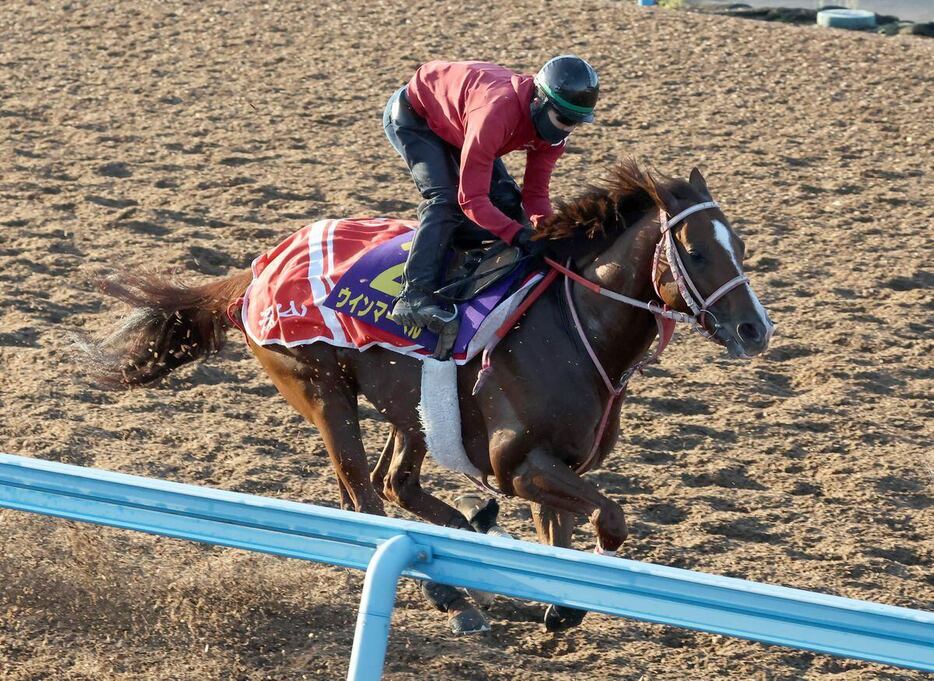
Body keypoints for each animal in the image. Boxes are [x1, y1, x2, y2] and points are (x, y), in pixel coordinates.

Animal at [78, 159, 776, 632]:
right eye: (694, 251)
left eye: (740, 246)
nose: (755, 329)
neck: (577, 330)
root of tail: (258, 268)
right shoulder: (515, 463)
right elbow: (610, 521)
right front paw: (564, 598)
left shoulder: (555, 463)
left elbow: (563, 534)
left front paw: (556, 603)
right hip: (322, 389)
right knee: (362, 494)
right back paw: (451, 594)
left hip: (409, 409)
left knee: (395, 483)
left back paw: (465, 560)